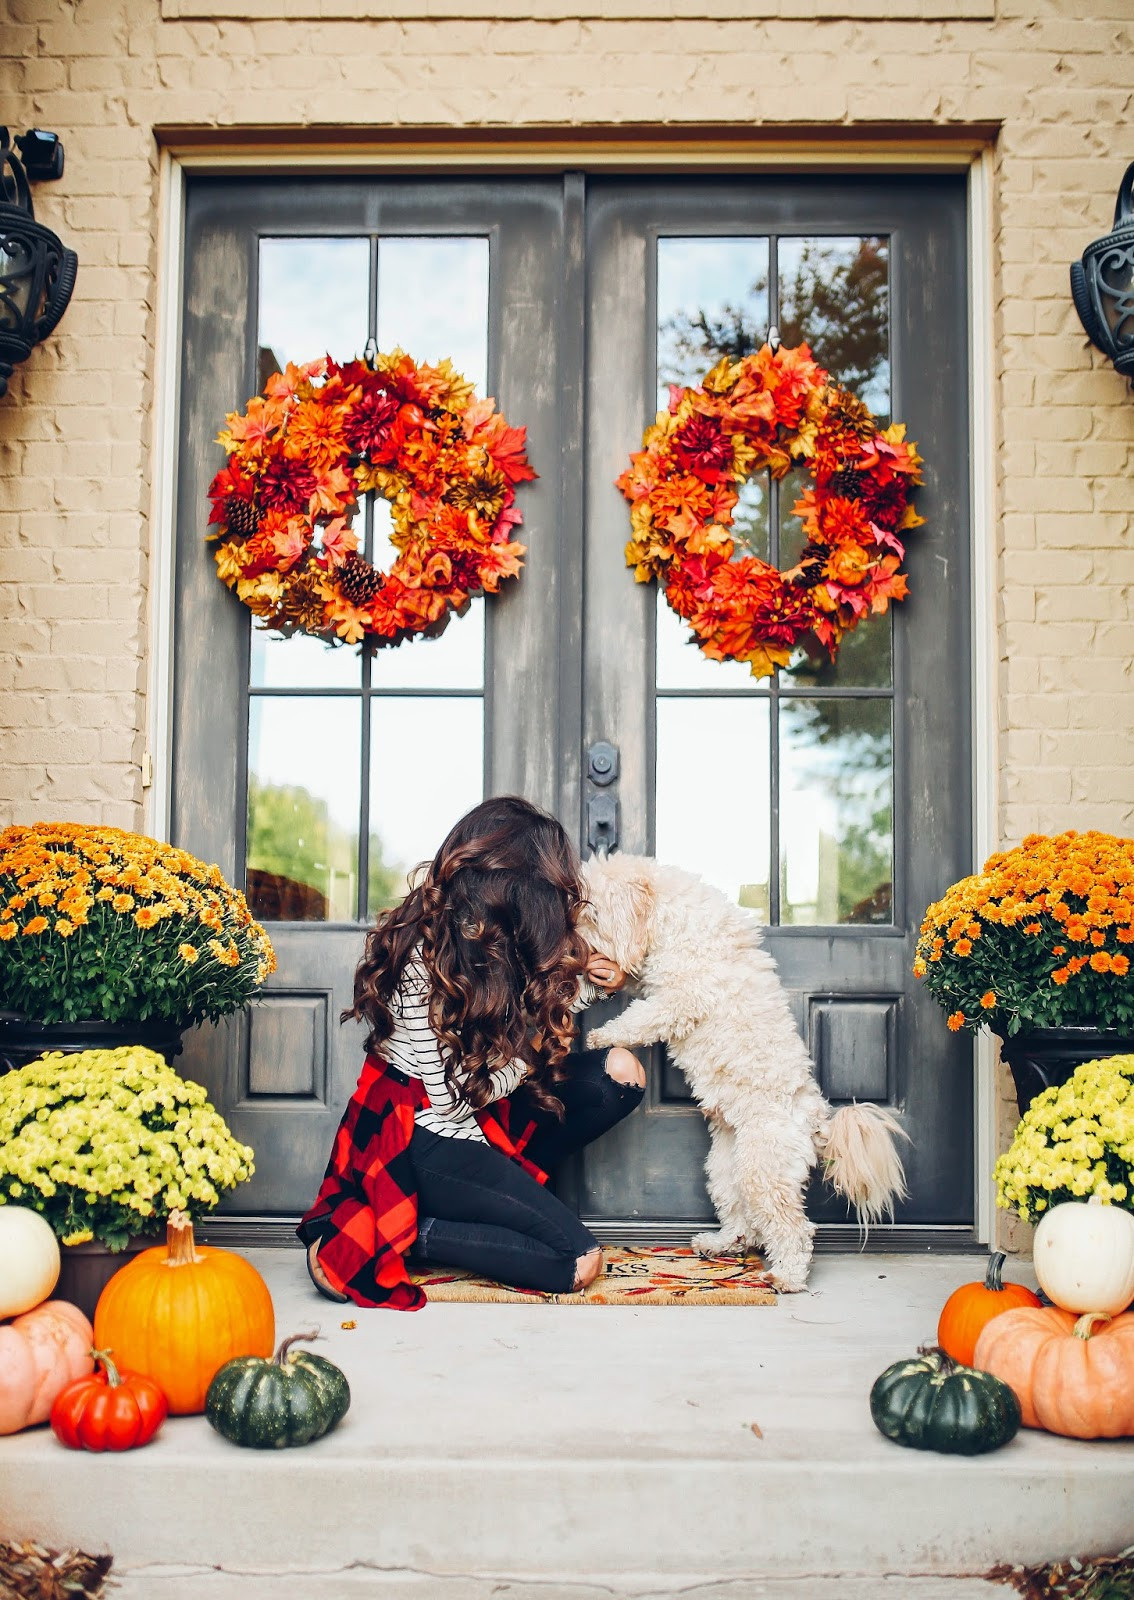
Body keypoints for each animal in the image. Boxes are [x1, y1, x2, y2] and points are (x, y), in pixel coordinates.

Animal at [578, 857, 908, 1292]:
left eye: (592, 912)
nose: (574, 944)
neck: (674, 920)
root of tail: (815, 1120)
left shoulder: (679, 999)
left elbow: (639, 1018)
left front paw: (602, 1035)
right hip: (725, 1170)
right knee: (742, 1221)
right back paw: (721, 1244)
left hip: (762, 1170)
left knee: (793, 1229)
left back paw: (785, 1276)